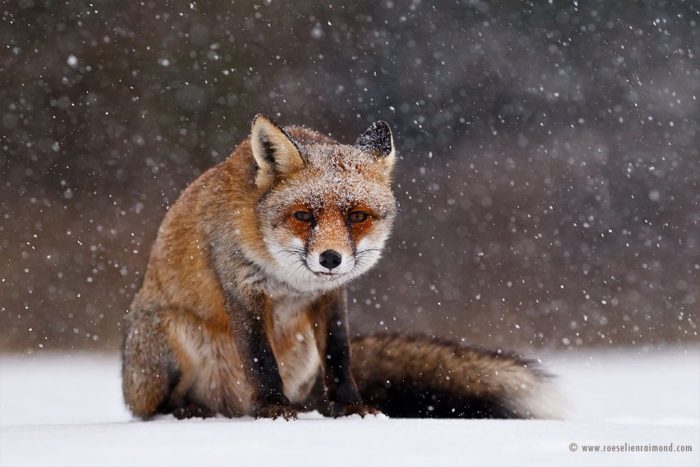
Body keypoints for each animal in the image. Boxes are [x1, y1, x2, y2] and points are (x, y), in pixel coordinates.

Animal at [120, 116, 556, 420]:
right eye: (303, 216)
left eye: (357, 216)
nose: (330, 258)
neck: (290, 280)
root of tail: (231, 407)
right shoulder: (242, 288)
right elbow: (260, 360)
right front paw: (273, 409)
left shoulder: (330, 296)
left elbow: (340, 355)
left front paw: (350, 409)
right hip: (172, 340)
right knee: (153, 407)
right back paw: (191, 411)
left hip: (301, 356)